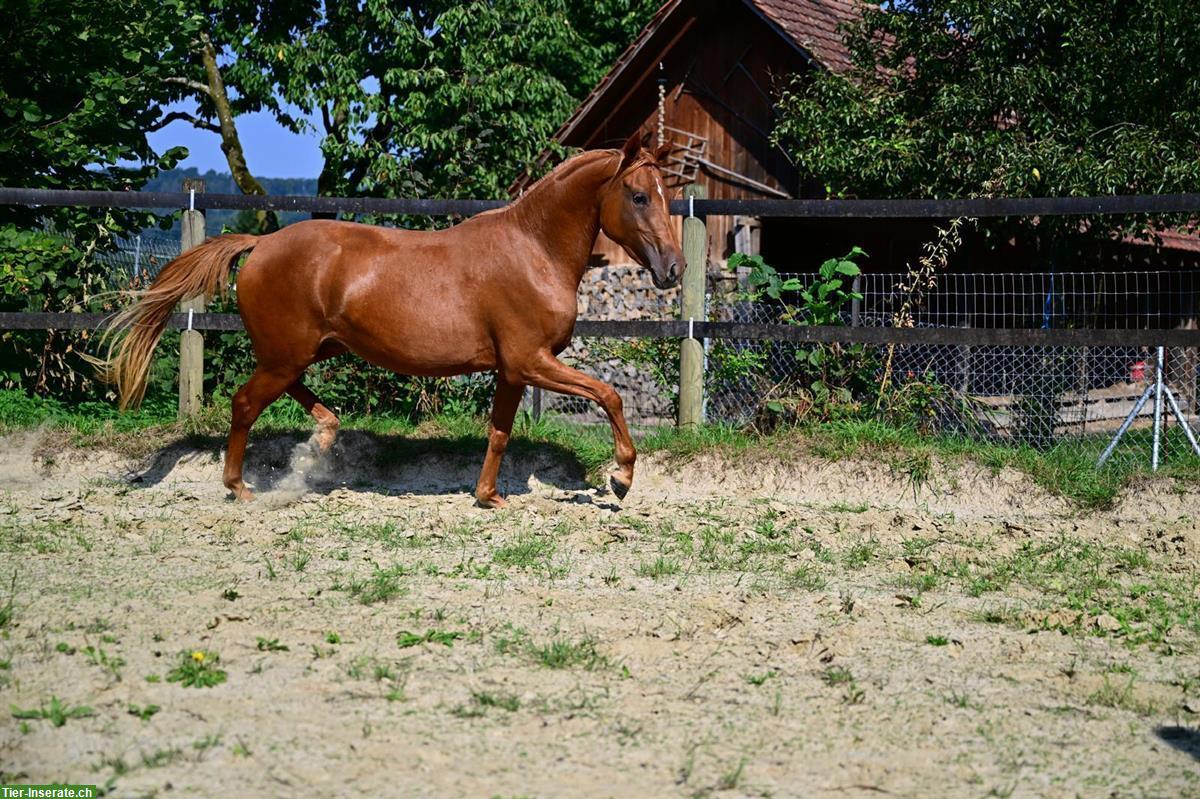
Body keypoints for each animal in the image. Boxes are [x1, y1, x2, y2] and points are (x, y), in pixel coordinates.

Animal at [98, 130, 686, 503]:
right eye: (638, 196)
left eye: (666, 195)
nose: (673, 269)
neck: (532, 250)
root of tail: (261, 244)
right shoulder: (530, 361)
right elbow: (609, 395)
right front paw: (621, 478)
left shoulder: (512, 370)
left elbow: (499, 432)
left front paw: (488, 497)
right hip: (286, 355)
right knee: (244, 405)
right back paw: (239, 487)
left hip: (300, 351)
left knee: (289, 395)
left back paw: (324, 438)